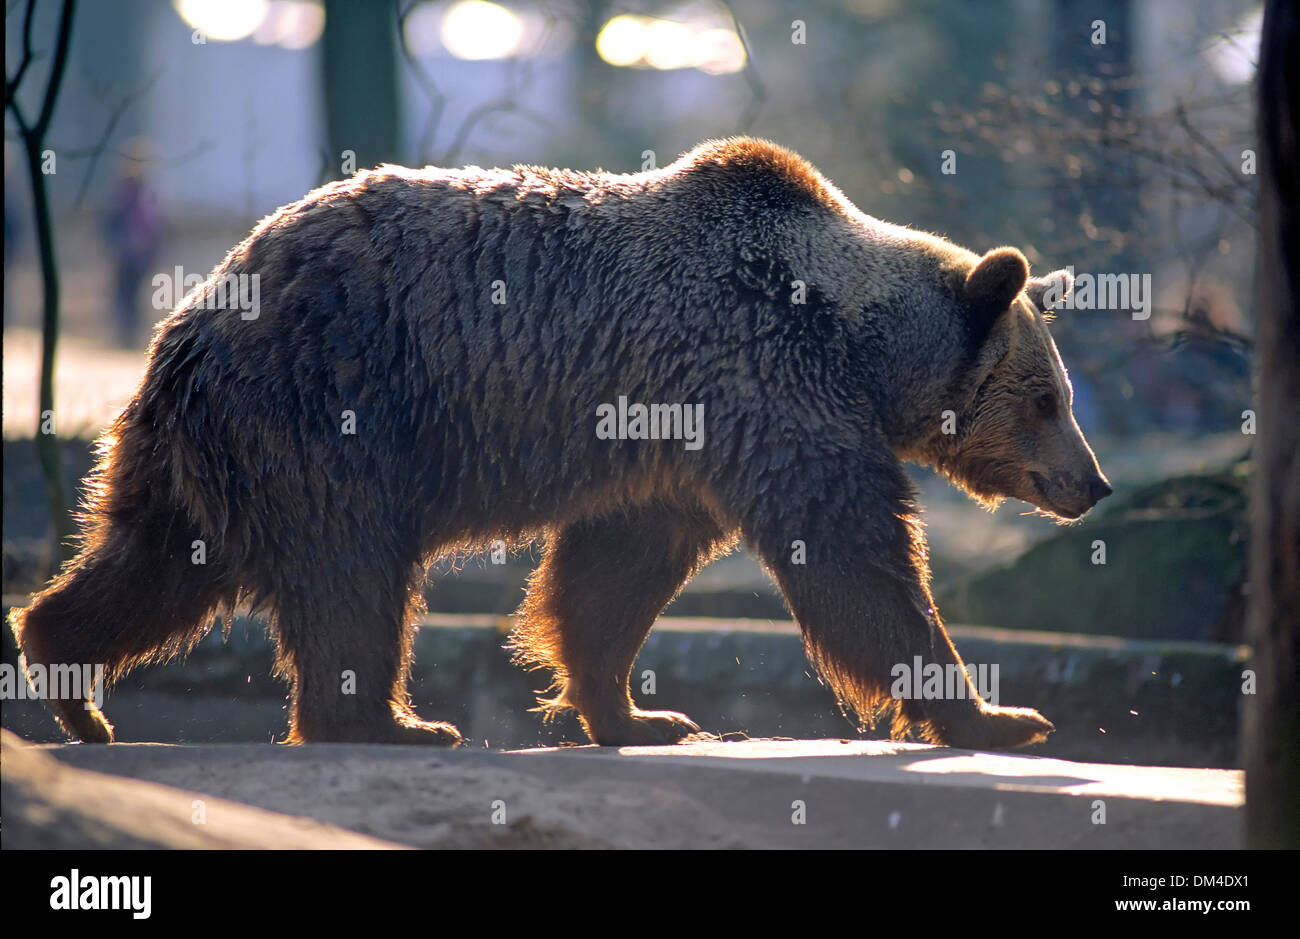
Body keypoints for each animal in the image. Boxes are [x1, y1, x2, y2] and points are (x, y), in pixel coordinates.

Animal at [10, 137, 1107, 743]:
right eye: (1048, 397)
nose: (1089, 483)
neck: (853, 339)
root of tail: (195, 311)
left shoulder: (672, 439)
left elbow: (610, 577)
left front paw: (643, 716)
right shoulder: (758, 379)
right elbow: (853, 560)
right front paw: (999, 713)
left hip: (203, 446)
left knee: (156, 561)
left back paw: (67, 675)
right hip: (331, 408)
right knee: (348, 570)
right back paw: (396, 721)